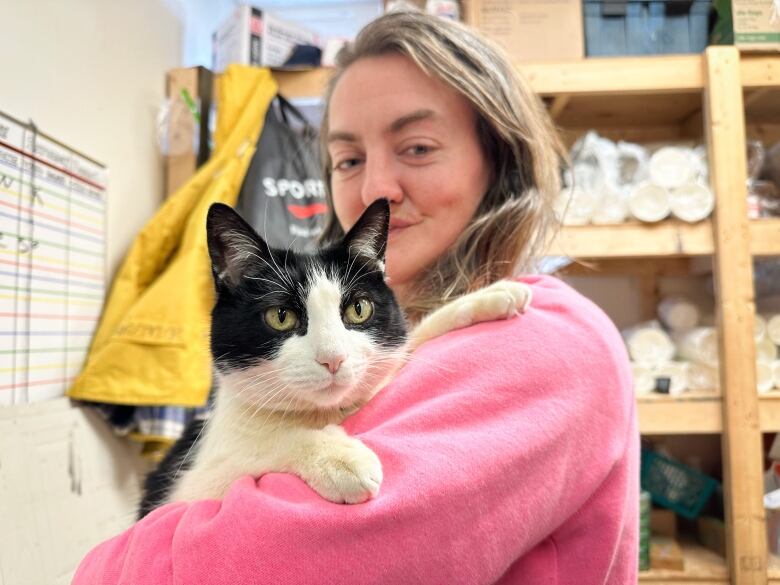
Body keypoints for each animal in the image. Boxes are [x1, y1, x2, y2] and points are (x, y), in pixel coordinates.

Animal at [137, 200, 532, 516]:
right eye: (281, 316)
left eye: (359, 309)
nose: (333, 359)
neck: (324, 412)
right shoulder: (190, 486)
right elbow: (260, 446)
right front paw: (341, 458)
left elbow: (412, 341)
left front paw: (489, 296)